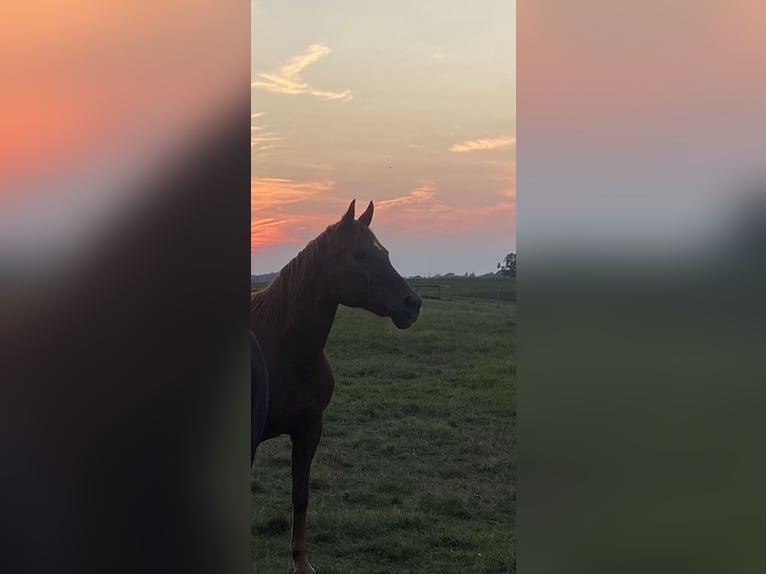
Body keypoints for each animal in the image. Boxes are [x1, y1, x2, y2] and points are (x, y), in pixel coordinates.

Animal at [252, 200, 424, 572]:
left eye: (385, 252)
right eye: (359, 254)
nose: (412, 304)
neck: (284, 350)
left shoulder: (309, 430)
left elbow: (300, 494)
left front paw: (301, 561)